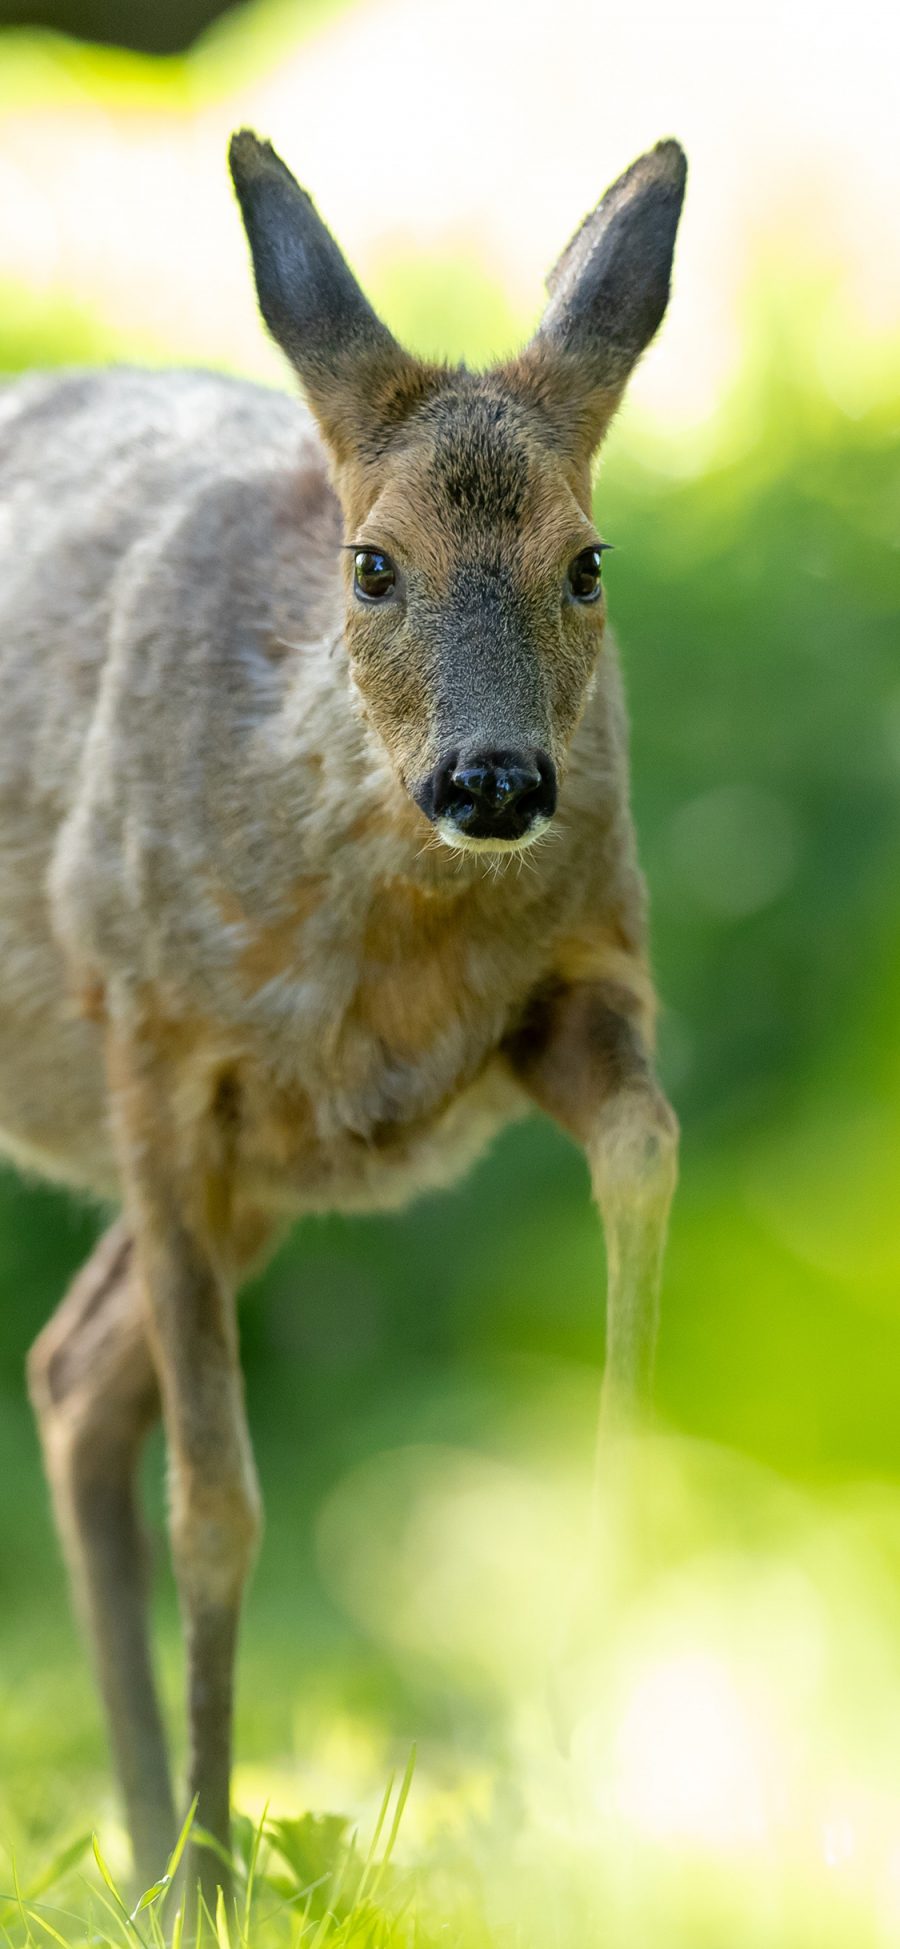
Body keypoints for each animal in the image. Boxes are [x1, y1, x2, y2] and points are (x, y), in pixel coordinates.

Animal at [3, 133, 685, 1902]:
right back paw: (176, 1862)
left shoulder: (583, 980)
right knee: (94, 1383)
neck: (391, 961)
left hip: (264, 1182)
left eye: (589, 562)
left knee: (72, 1370)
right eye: (371, 563)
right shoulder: (154, 1050)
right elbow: (219, 1504)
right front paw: (216, 1888)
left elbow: (647, 1149)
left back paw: (147, 1846)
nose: (497, 781)